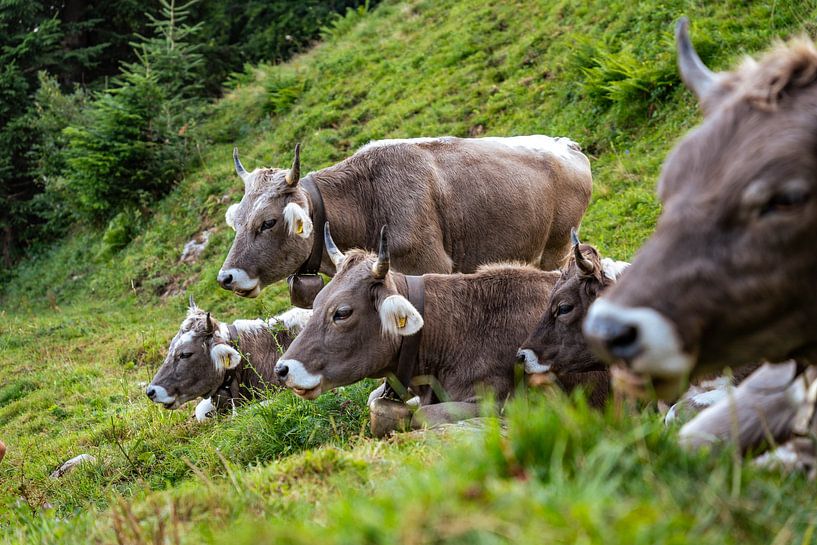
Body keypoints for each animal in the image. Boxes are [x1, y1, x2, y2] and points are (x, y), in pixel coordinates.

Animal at [217, 136, 592, 300]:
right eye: (237, 222)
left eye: (267, 222)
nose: (226, 278)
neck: (365, 200)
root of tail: (566, 144)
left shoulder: (431, 266)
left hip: (556, 248)